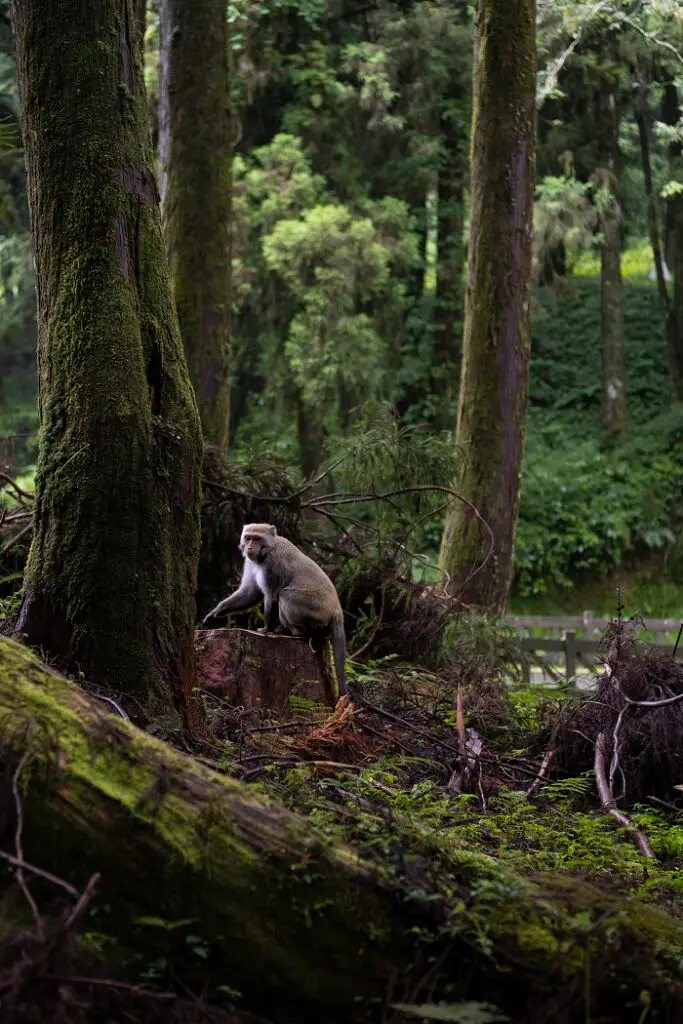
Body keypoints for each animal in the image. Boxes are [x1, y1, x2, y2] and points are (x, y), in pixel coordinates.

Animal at [203, 523, 347, 696]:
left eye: (257, 538)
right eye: (248, 537)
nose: (250, 547)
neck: (267, 549)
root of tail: (337, 610)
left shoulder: (273, 564)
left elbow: (271, 595)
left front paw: (266, 628)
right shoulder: (251, 562)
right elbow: (250, 593)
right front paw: (215, 613)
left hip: (315, 609)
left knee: (285, 595)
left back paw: (296, 633)